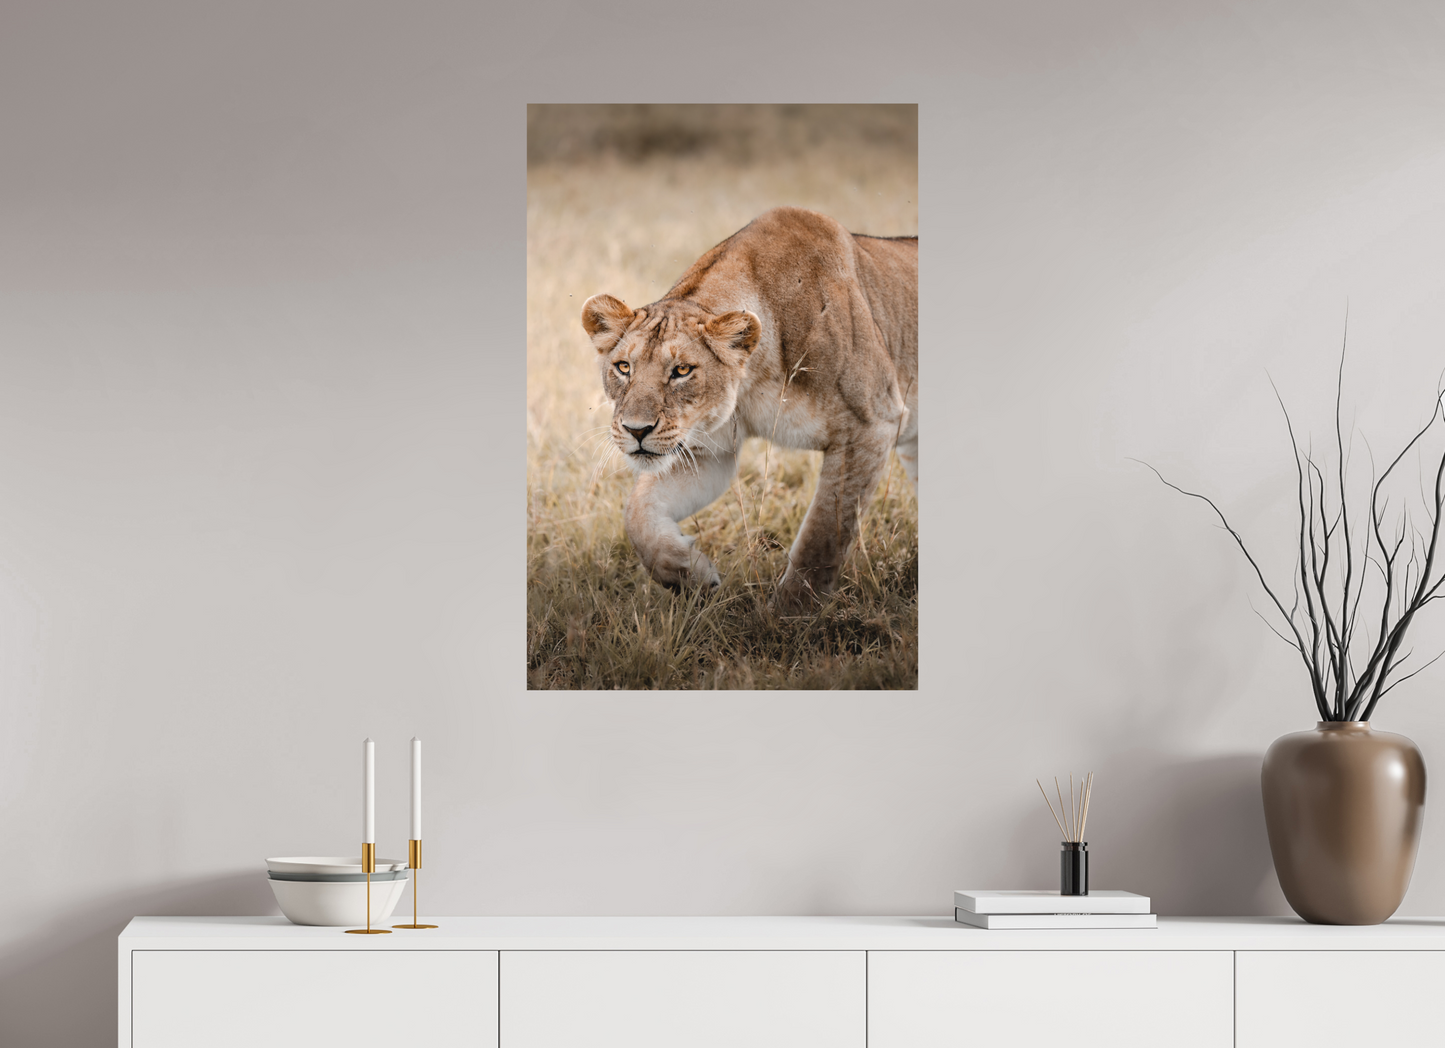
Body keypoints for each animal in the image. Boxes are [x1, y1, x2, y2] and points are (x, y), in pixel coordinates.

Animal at [582, 206, 917, 609]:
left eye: (681, 371)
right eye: (623, 367)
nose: (636, 430)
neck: (753, 380)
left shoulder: (871, 426)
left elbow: (823, 535)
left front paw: (789, 615)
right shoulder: (708, 450)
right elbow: (637, 513)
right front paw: (690, 575)